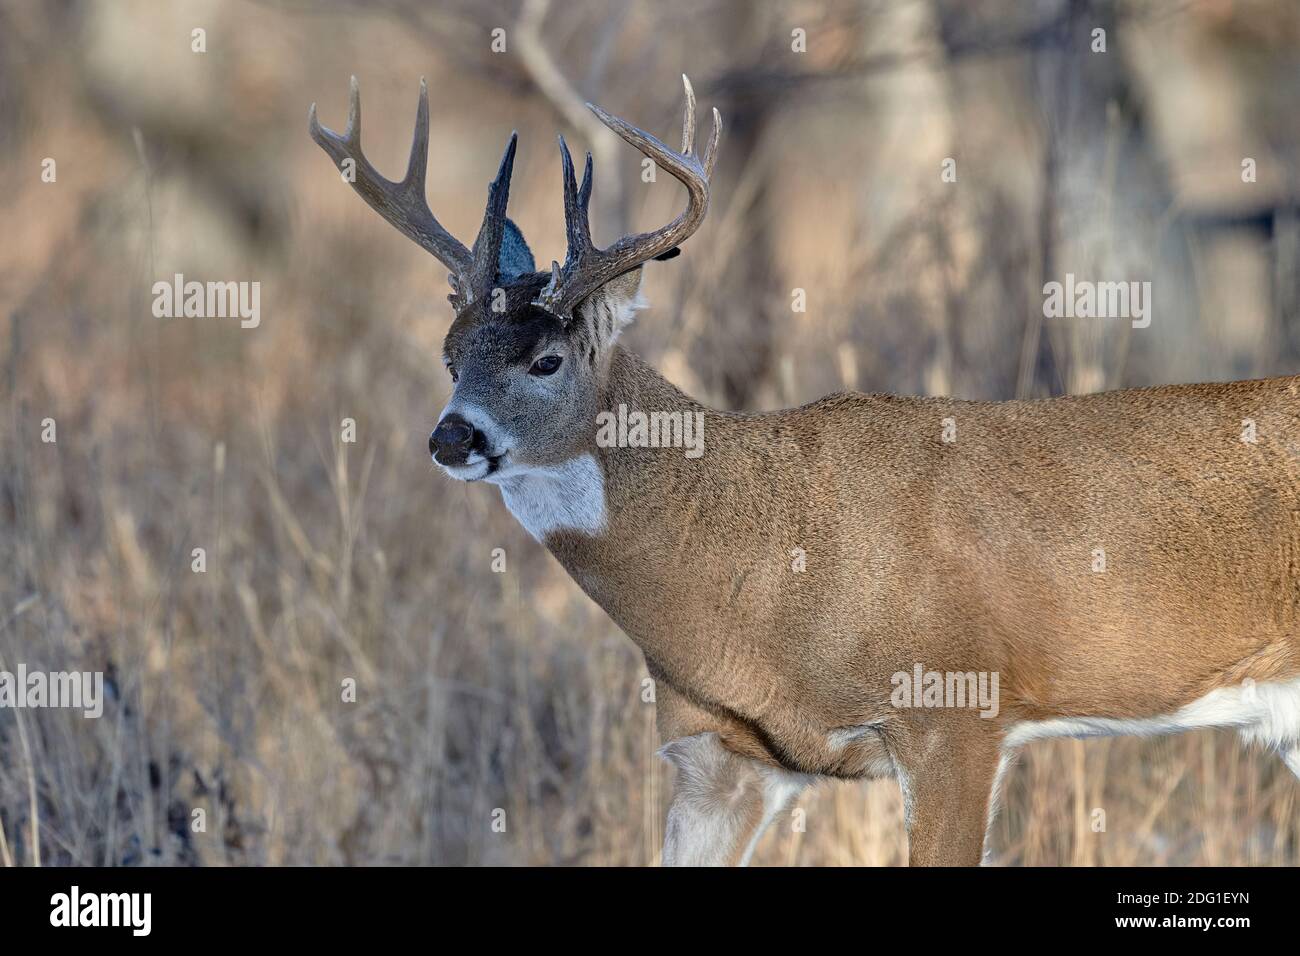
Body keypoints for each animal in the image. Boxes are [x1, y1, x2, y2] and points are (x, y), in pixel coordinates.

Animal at [312, 76, 1300, 868]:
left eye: (546, 360)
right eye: (449, 356)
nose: (450, 438)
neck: (758, 571)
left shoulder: (957, 711)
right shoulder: (721, 757)